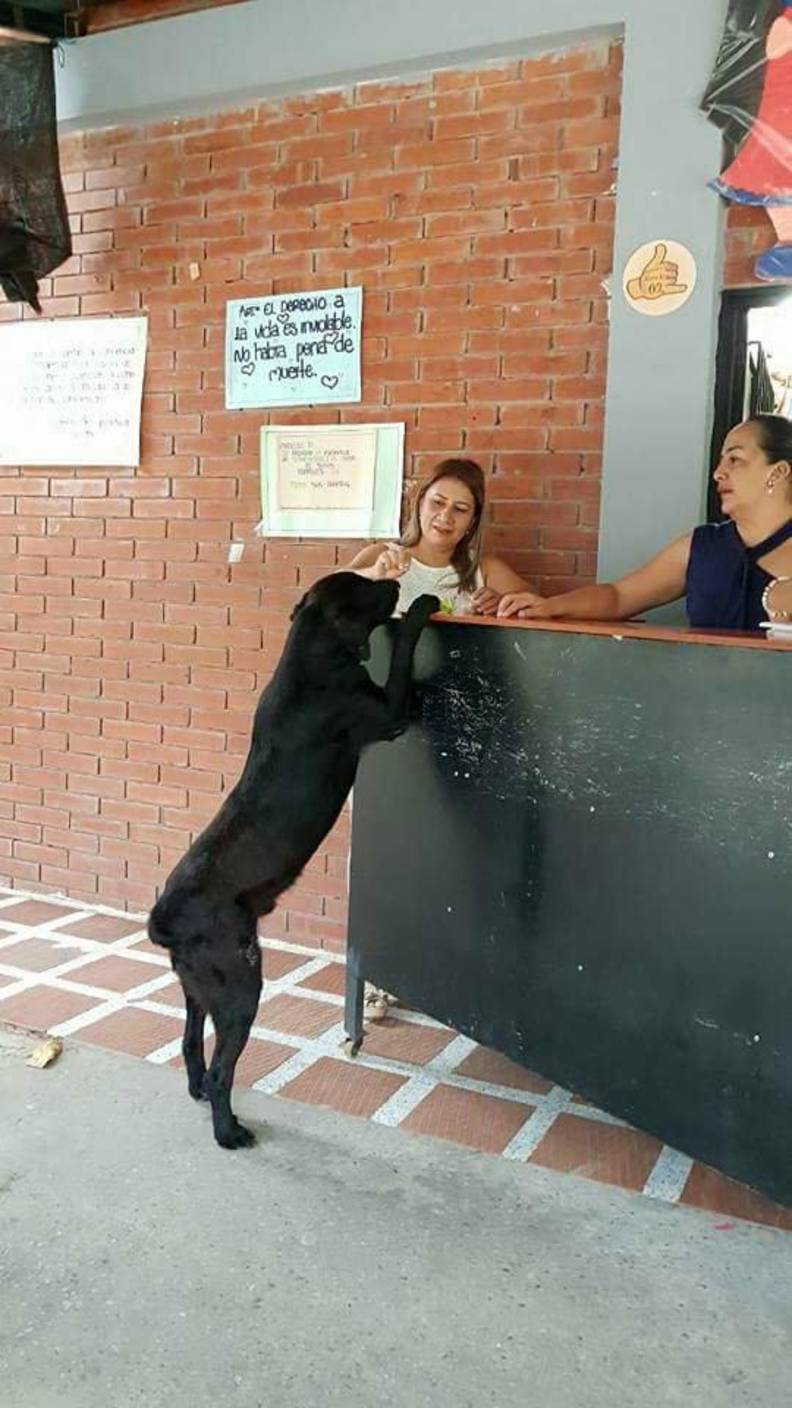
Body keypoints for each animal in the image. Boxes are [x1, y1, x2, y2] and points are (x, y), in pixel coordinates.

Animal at [147, 571, 436, 1143]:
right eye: (368, 586)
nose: (394, 579)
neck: (312, 655)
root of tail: (166, 918)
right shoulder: (387, 711)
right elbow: (401, 657)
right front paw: (420, 608)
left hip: (198, 990)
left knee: (191, 1044)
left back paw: (199, 1095)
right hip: (240, 987)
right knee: (222, 1069)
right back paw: (229, 1132)